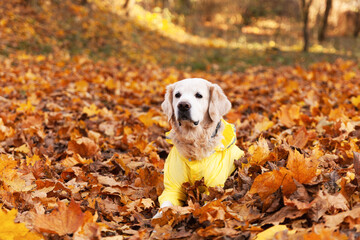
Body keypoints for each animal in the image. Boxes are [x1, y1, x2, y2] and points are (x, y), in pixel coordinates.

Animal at [153, 78, 243, 218]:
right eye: (177, 95)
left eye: (199, 95)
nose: (183, 105)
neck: (193, 140)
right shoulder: (172, 188)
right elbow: (165, 206)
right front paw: (157, 219)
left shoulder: (214, 188)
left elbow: (207, 205)